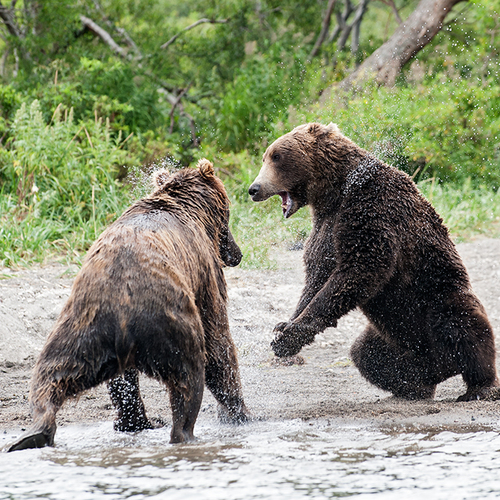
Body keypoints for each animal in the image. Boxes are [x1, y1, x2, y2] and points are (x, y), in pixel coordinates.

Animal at [6, 158, 249, 452]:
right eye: (228, 214)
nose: (237, 254)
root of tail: (123, 308)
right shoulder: (204, 272)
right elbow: (218, 342)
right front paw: (241, 413)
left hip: (81, 331)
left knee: (52, 374)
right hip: (172, 325)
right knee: (190, 377)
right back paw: (184, 432)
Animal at [248, 122, 498, 402]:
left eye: (276, 156)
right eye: (266, 156)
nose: (254, 189)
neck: (334, 192)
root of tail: (442, 367)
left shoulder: (369, 210)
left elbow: (359, 270)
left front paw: (287, 337)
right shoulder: (325, 227)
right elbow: (316, 276)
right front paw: (283, 326)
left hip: (437, 299)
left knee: (465, 328)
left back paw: (480, 387)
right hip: (391, 336)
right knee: (366, 354)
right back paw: (412, 386)